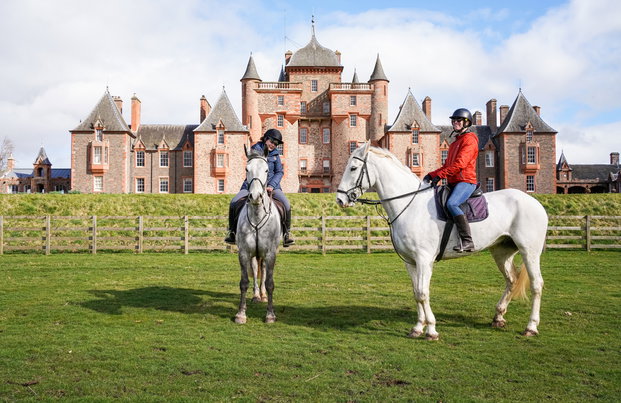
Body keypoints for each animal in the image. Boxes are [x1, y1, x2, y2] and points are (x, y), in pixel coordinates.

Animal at [234, 145, 282, 324]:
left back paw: (262, 295)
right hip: (254, 254)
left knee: (263, 271)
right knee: (255, 269)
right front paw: (241, 314)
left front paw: (270, 315)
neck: (256, 214)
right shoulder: (244, 253)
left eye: (267, 169)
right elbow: (244, 282)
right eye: (246, 169)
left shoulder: (270, 254)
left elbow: (269, 283)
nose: (255, 197)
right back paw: (256, 295)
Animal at [336, 142, 547, 340]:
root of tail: (535, 202)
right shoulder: (410, 262)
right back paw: (499, 317)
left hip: (529, 251)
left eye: (353, 168)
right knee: (511, 280)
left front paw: (431, 330)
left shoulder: (424, 260)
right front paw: (418, 328)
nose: (339, 200)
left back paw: (531, 327)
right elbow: (416, 293)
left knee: (536, 284)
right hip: (501, 252)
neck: (410, 205)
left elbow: (423, 293)